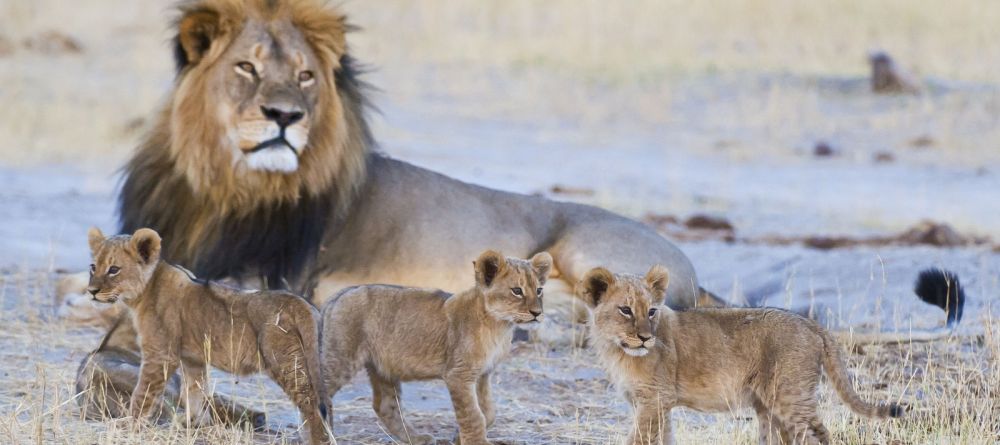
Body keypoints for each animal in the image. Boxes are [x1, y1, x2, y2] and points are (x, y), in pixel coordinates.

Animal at [78, 0, 720, 424]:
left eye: (306, 76)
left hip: (588, 253)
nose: (285, 115)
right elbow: (100, 353)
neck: (227, 189)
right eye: (246, 67)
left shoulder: (273, 284)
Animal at [576, 266, 904, 442]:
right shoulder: (658, 404)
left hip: (789, 395)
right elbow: (663, 438)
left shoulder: (654, 400)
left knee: (817, 434)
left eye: (652, 311)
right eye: (626, 310)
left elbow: (638, 439)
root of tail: (811, 323)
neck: (617, 350)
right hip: (769, 407)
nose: (646, 338)